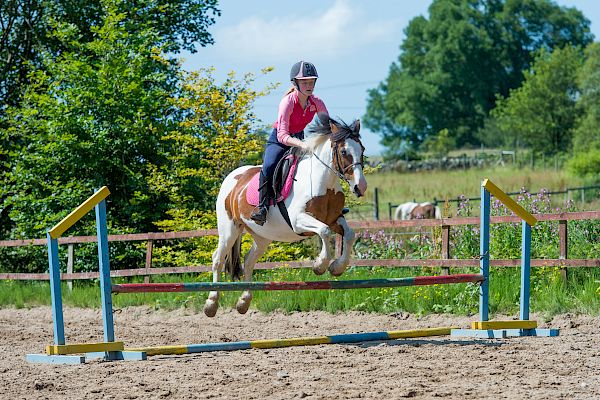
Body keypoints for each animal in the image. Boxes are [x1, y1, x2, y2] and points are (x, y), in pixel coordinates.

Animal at [204, 117, 368, 318]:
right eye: (344, 151)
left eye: (362, 149)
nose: (361, 187)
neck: (324, 183)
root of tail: (233, 177)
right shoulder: (299, 221)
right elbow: (324, 231)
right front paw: (320, 265)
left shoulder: (335, 219)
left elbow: (349, 235)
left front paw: (337, 267)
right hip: (229, 229)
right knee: (218, 259)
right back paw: (211, 303)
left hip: (262, 236)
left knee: (249, 260)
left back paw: (244, 302)